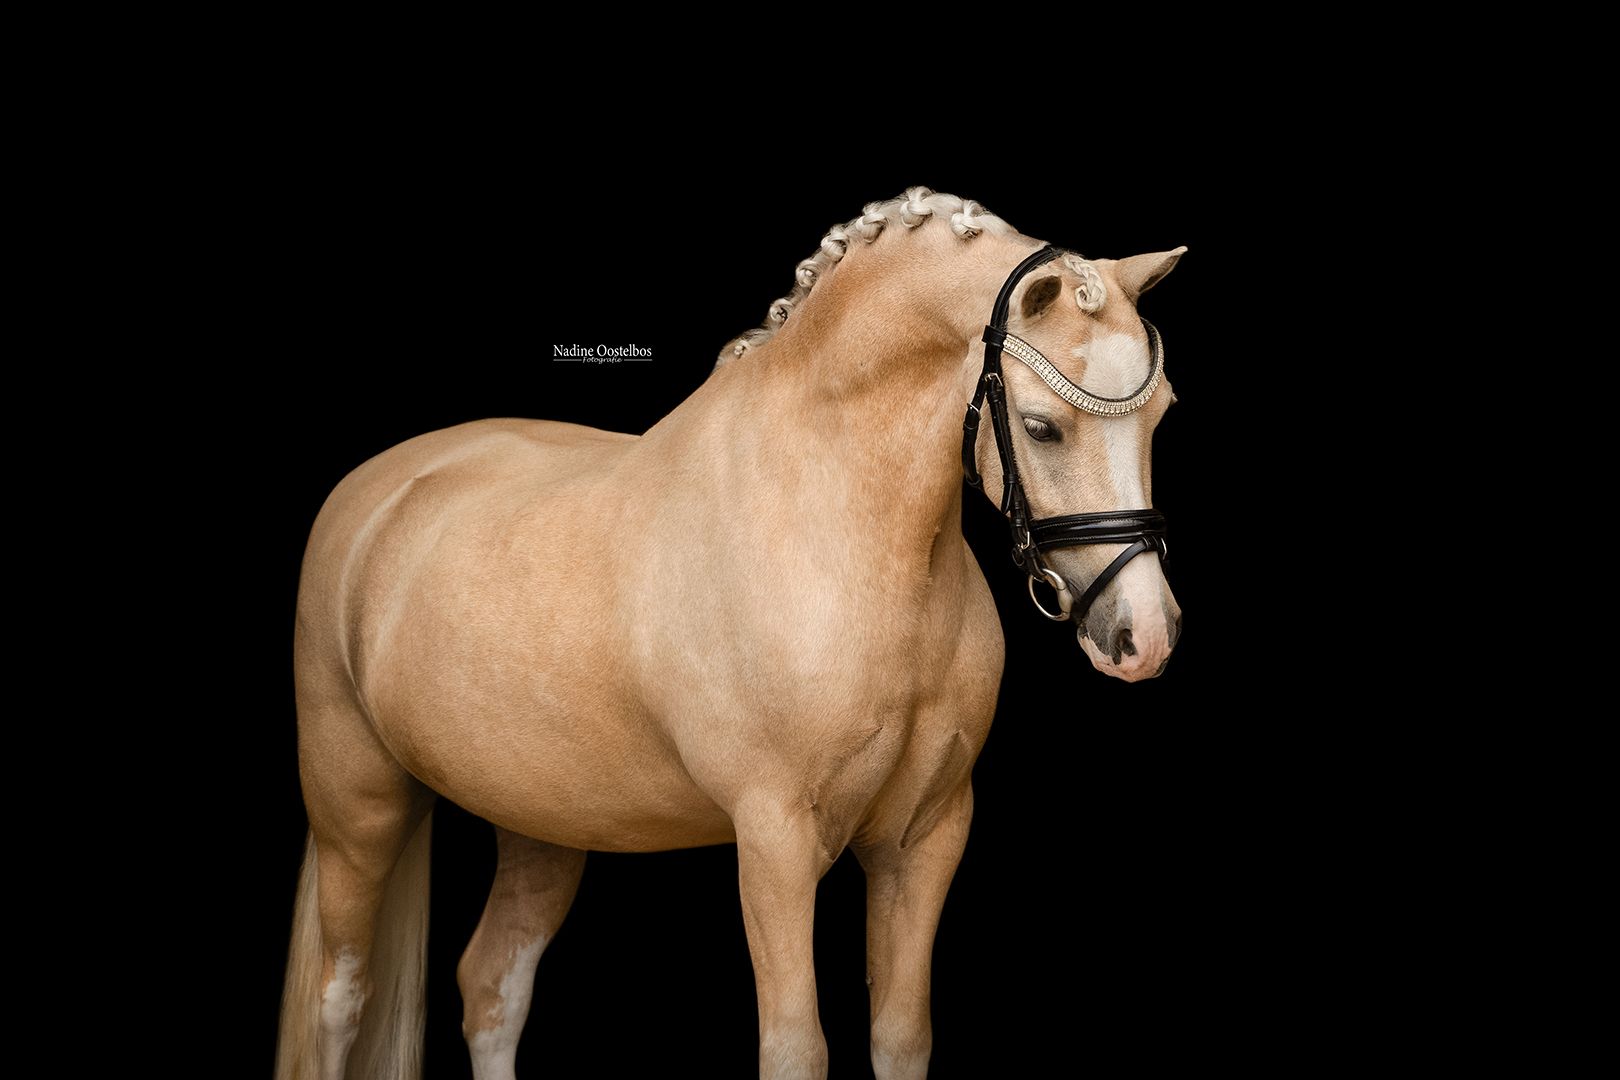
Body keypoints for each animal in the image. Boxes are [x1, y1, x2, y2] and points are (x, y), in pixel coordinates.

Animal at [274, 187, 1184, 1080]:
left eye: (1163, 415)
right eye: (1040, 425)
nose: (1144, 634)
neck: (835, 524)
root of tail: (378, 489)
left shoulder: (925, 839)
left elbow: (900, 1038)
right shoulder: (774, 842)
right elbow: (794, 1049)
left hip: (540, 826)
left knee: (493, 987)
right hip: (357, 807)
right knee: (339, 999)